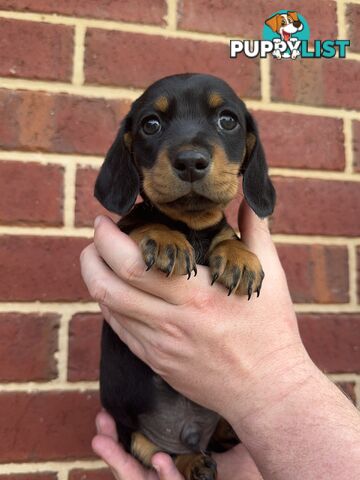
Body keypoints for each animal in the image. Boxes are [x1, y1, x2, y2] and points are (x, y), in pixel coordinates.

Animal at [93, 72, 276, 480]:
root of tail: (191, 434)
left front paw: (240, 259)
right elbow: (143, 221)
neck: (191, 225)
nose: (191, 161)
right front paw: (165, 240)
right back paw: (192, 461)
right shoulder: (122, 236)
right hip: (135, 435)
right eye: (150, 124)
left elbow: (227, 234)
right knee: (161, 452)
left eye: (227, 120)